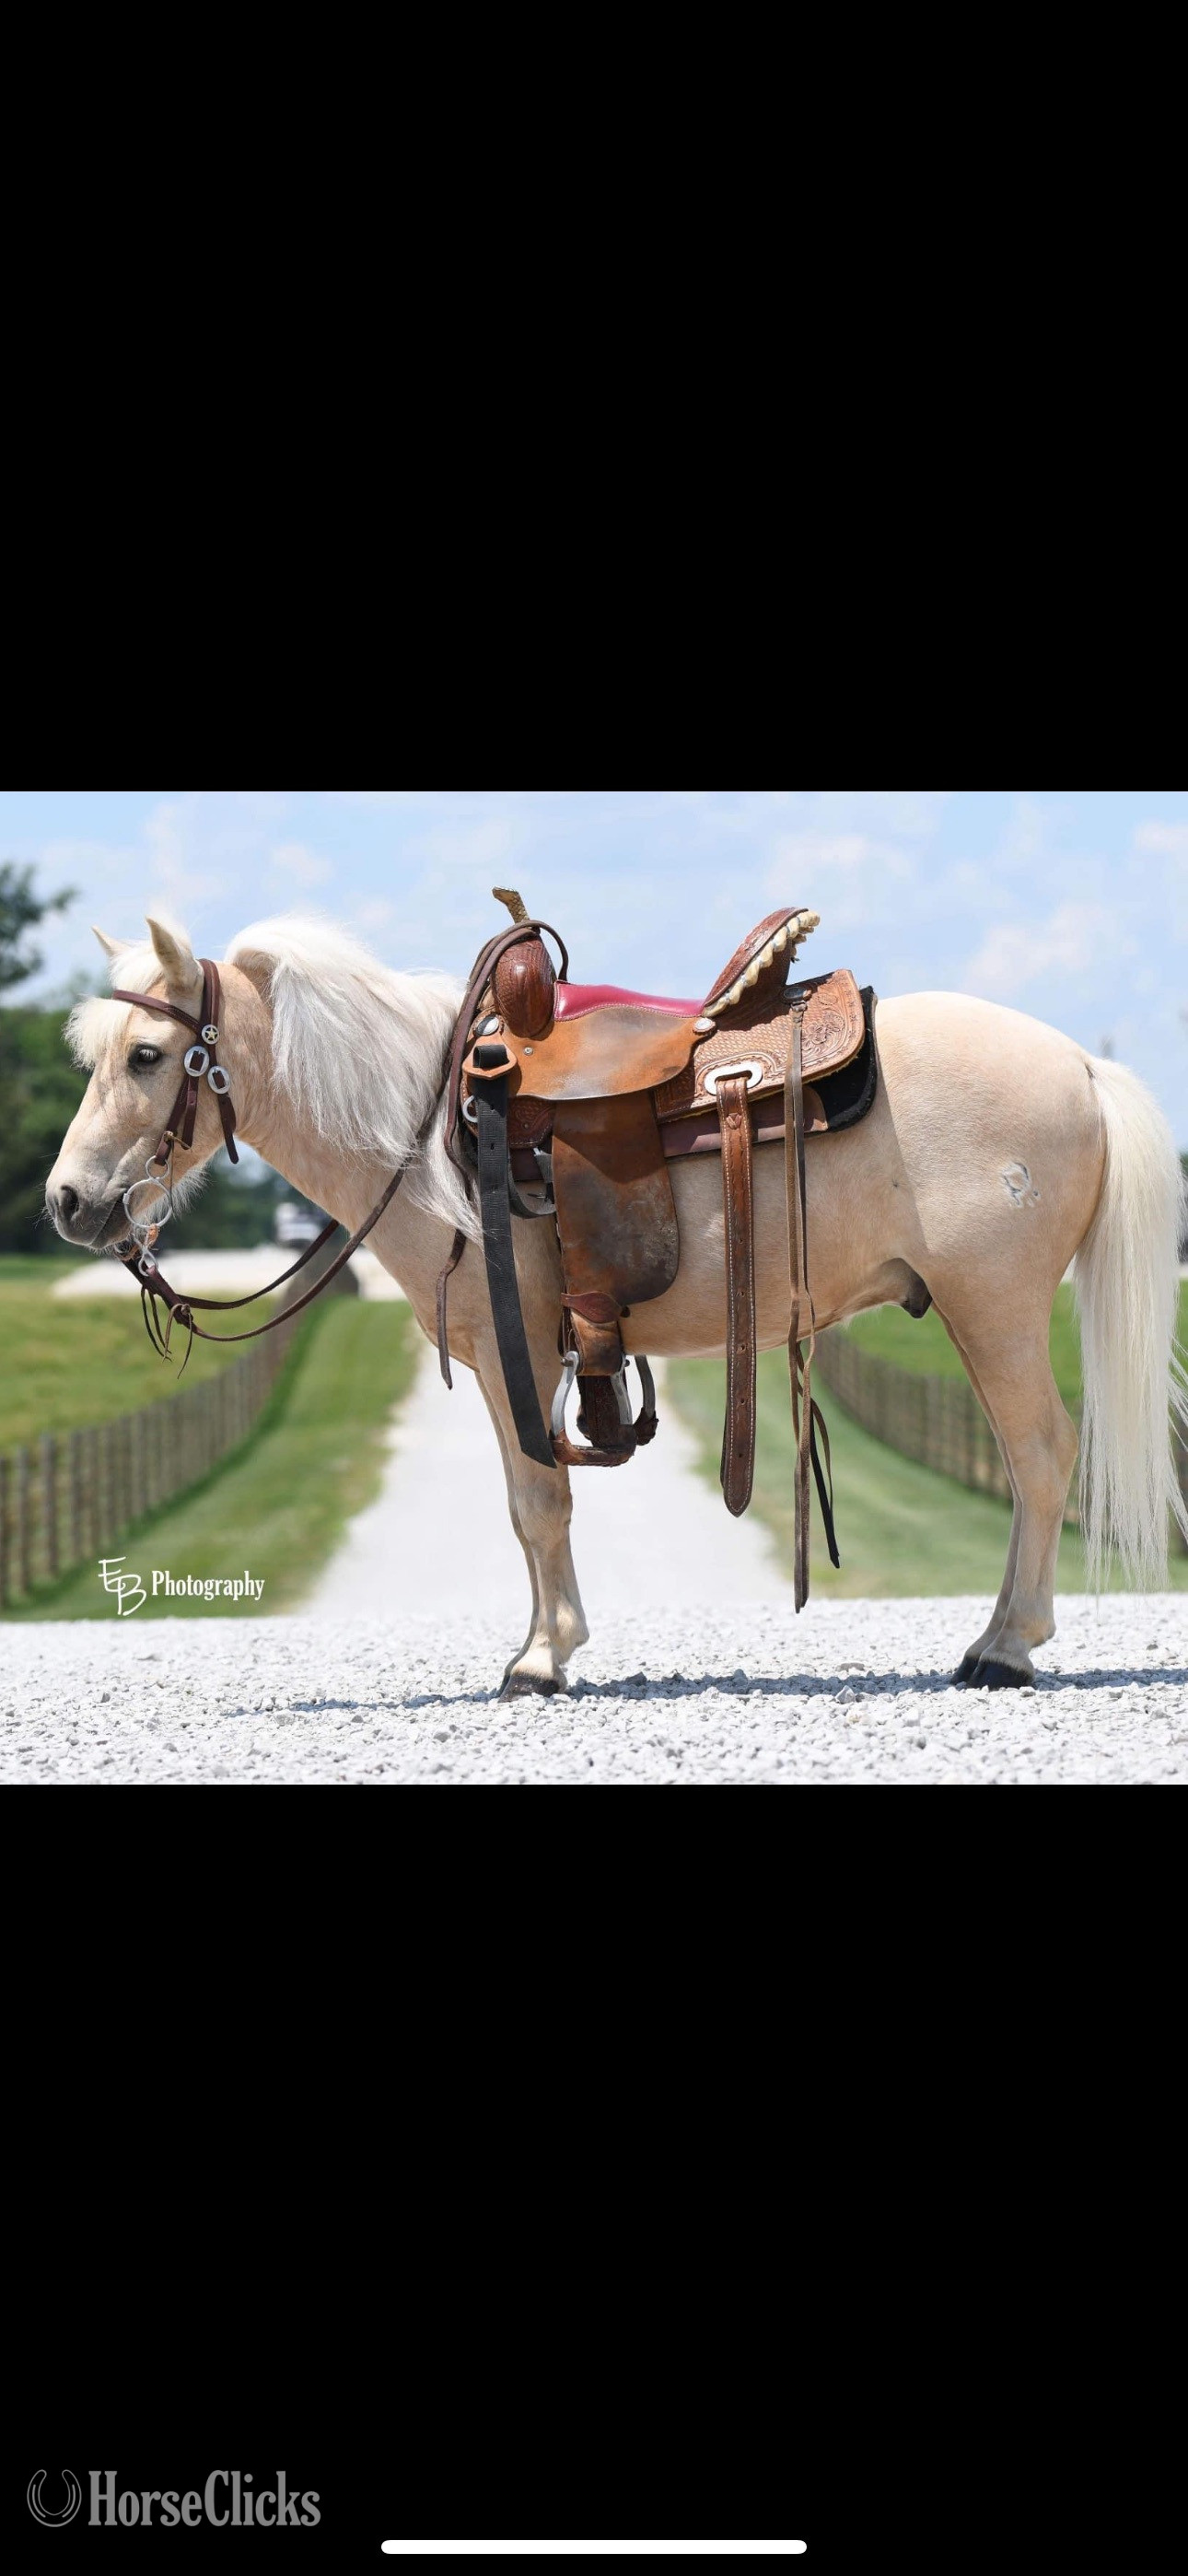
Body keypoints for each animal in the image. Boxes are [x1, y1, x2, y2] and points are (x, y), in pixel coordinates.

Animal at [45, 910, 1188, 1696]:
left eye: (147, 1056)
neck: (431, 1129)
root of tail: (1082, 1064)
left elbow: (537, 1504)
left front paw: (540, 1660)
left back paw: (1003, 1648)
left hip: (992, 1309)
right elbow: (537, 1507)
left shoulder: (511, 1358)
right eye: (91, 1056)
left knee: (1040, 1454)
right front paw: (547, 1645)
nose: (67, 1201)